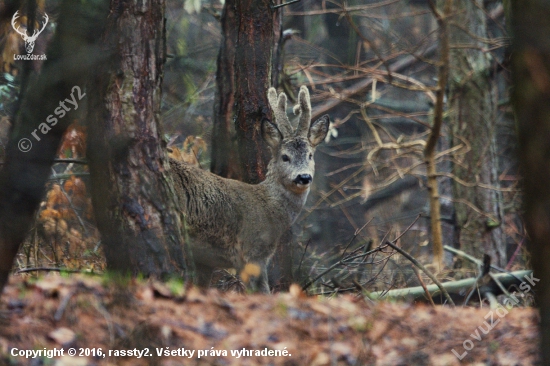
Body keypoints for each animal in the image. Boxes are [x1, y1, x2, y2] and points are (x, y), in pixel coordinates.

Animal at [170, 85, 330, 292]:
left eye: (310, 155)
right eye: (285, 157)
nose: (303, 177)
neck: (268, 208)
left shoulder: (205, 261)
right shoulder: (253, 250)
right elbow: (263, 292)